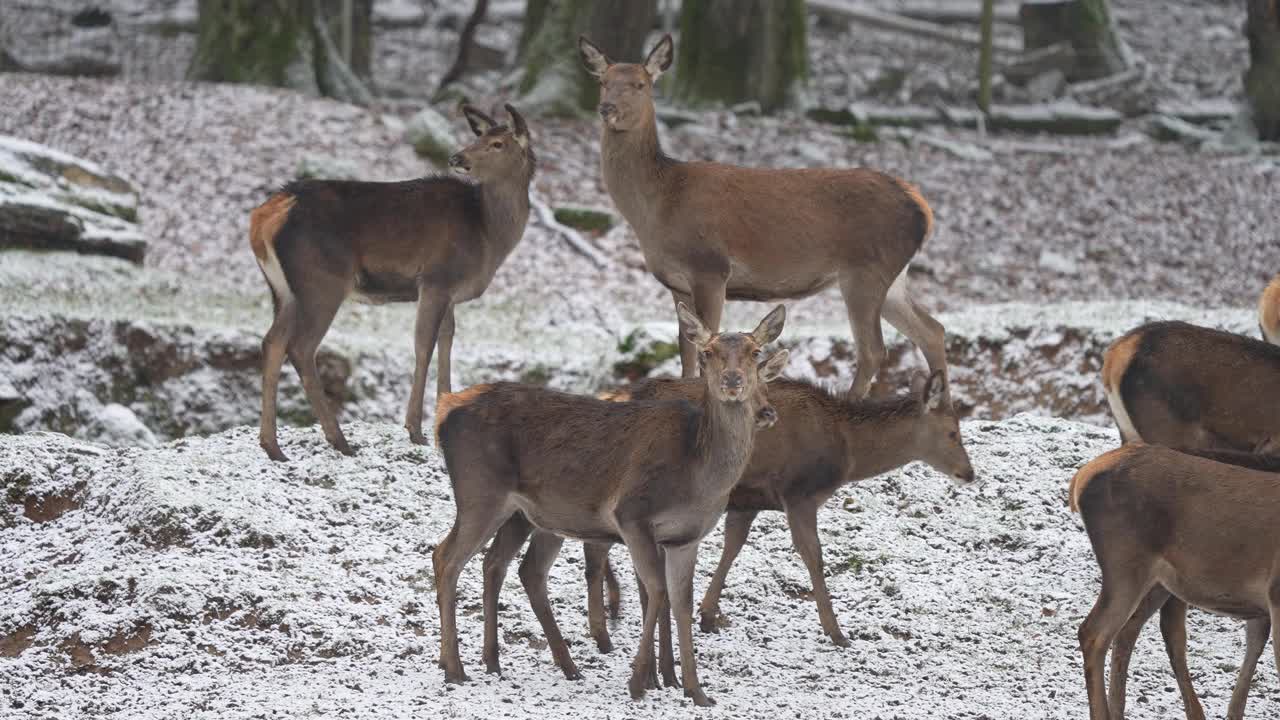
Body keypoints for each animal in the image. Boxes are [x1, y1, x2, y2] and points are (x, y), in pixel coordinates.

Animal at [249, 101, 535, 458]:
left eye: (497, 143)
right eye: (479, 137)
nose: (457, 158)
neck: (488, 235)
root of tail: (266, 215)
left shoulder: (450, 292)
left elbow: (447, 342)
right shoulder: (437, 278)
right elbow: (424, 345)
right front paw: (415, 430)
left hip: (284, 290)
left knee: (272, 342)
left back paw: (272, 445)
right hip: (322, 280)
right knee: (300, 347)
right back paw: (340, 440)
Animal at [432, 299, 788, 702]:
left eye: (755, 352)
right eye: (707, 353)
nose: (732, 381)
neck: (697, 473)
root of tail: (444, 410)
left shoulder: (685, 537)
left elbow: (681, 602)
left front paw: (695, 691)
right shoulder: (632, 514)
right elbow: (656, 590)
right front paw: (641, 681)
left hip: (527, 513)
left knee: (506, 566)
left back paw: (511, 663)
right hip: (480, 491)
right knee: (447, 557)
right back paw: (455, 668)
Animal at [581, 33, 952, 397]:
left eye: (640, 84)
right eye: (603, 81)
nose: (606, 108)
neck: (659, 204)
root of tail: (922, 207)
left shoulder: (710, 268)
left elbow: (705, 346)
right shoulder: (676, 282)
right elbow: (686, 351)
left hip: (866, 270)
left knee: (874, 349)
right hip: (892, 277)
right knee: (933, 330)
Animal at [1070, 443, 1280, 717]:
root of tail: (1080, 478)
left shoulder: (1262, 608)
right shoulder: (1276, 593)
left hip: (1158, 582)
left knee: (1128, 631)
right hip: (1125, 564)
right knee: (1095, 633)